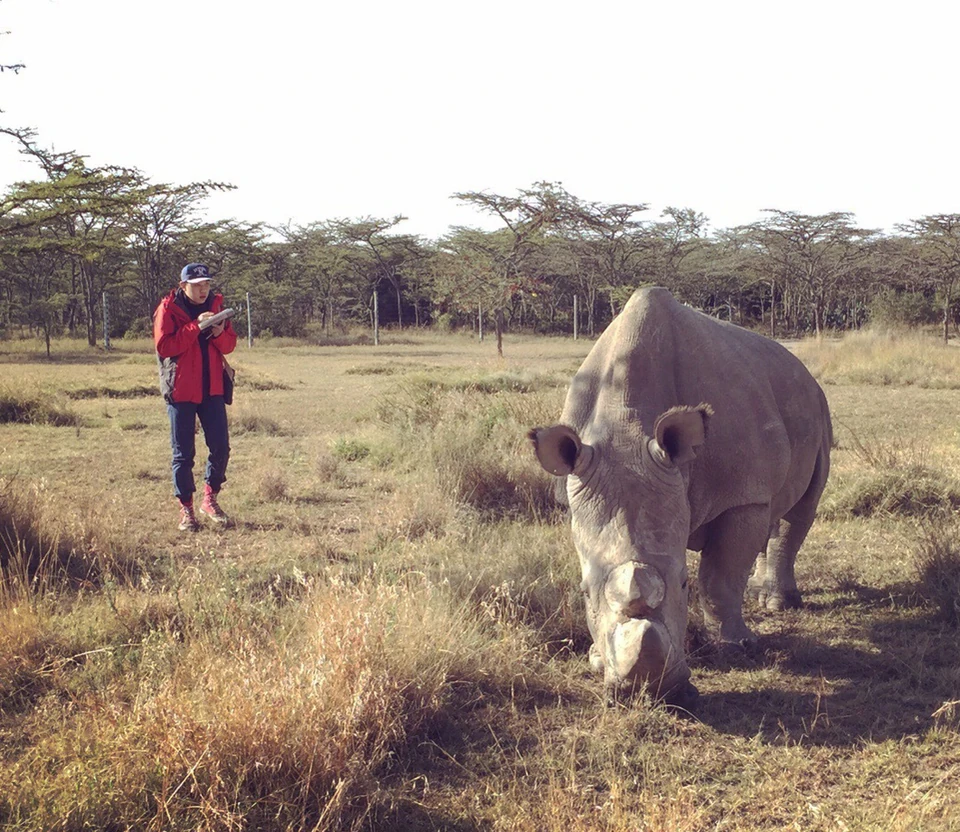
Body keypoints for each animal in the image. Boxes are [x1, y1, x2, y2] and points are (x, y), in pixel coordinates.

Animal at [529, 287, 831, 708]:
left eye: (683, 585)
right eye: (583, 593)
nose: (648, 695)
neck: (626, 428)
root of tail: (798, 364)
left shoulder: (740, 494)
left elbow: (719, 577)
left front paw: (737, 648)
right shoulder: (574, 492)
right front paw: (596, 658)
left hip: (817, 406)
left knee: (799, 509)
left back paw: (777, 603)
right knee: (772, 510)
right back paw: (760, 596)